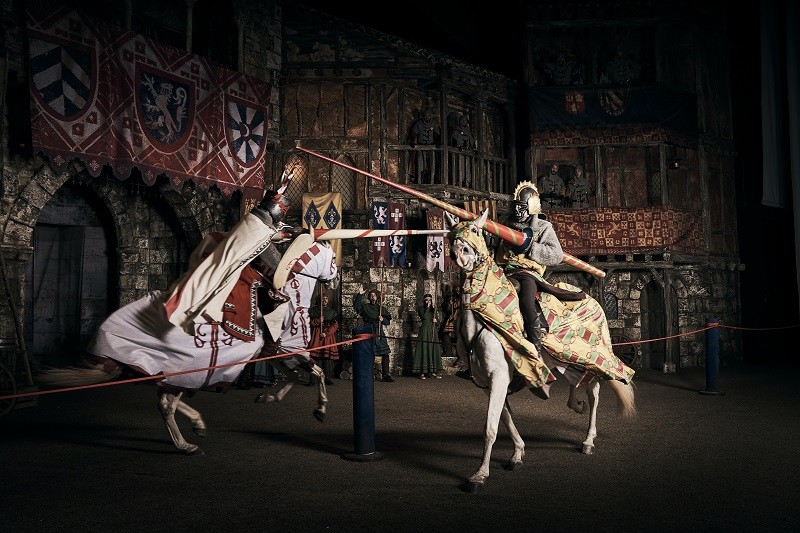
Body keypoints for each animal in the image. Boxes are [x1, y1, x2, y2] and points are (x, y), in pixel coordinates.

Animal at [36, 235, 336, 456]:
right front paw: (320, 410)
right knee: (167, 403)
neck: (294, 291)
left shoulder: (276, 351)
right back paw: (186, 444)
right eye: (333, 259)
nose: (333, 280)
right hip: (186, 367)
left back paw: (194, 427)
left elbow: (294, 375)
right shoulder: (290, 348)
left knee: (165, 396)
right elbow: (317, 372)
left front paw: (267, 397)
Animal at [446, 210, 636, 492]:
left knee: (595, 390)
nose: (460, 254)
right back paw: (576, 405)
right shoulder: (488, 382)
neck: (480, 320)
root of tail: (591, 298)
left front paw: (479, 475)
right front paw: (517, 453)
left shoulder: (499, 377)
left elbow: (490, 428)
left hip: (592, 353)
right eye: (452, 234)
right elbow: (506, 418)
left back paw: (588, 439)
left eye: (476, 231)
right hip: (565, 359)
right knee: (578, 381)